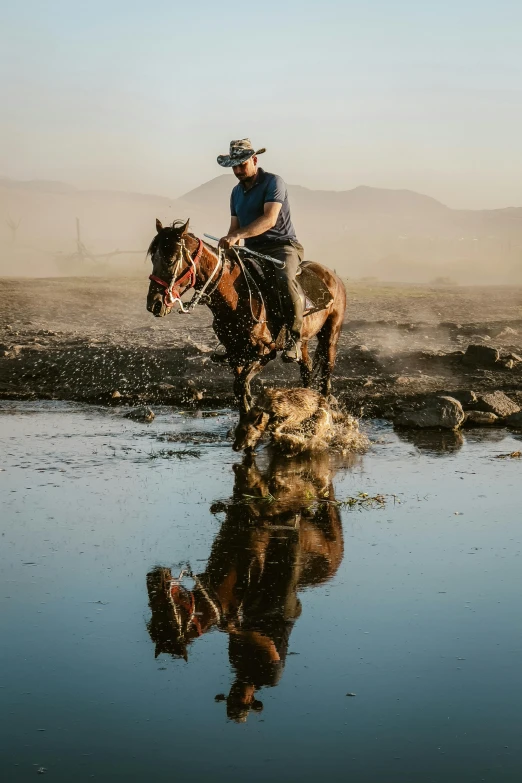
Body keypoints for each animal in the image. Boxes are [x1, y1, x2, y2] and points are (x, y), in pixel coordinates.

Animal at [145, 216, 346, 410]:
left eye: (170, 259)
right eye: (153, 258)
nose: (154, 303)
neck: (234, 298)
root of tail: (333, 276)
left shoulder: (265, 351)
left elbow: (242, 385)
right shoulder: (235, 353)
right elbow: (241, 390)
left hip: (330, 335)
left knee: (326, 374)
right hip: (302, 341)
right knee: (307, 368)